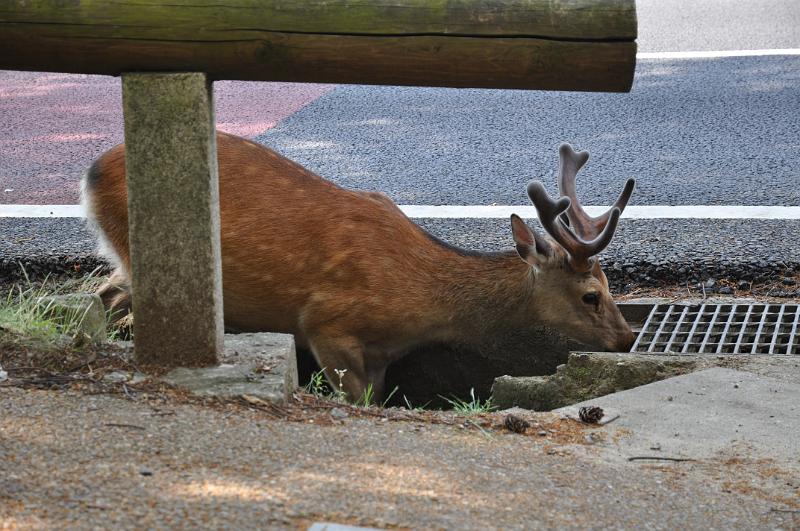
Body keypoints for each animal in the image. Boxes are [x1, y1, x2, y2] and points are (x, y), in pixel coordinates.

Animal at [83, 132, 636, 401]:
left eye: (611, 283)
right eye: (590, 295)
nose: (628, 337)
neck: (423, 303)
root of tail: (91, 173)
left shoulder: (382, 355)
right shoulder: (326, 324)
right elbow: (358, 401)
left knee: (105, 295)